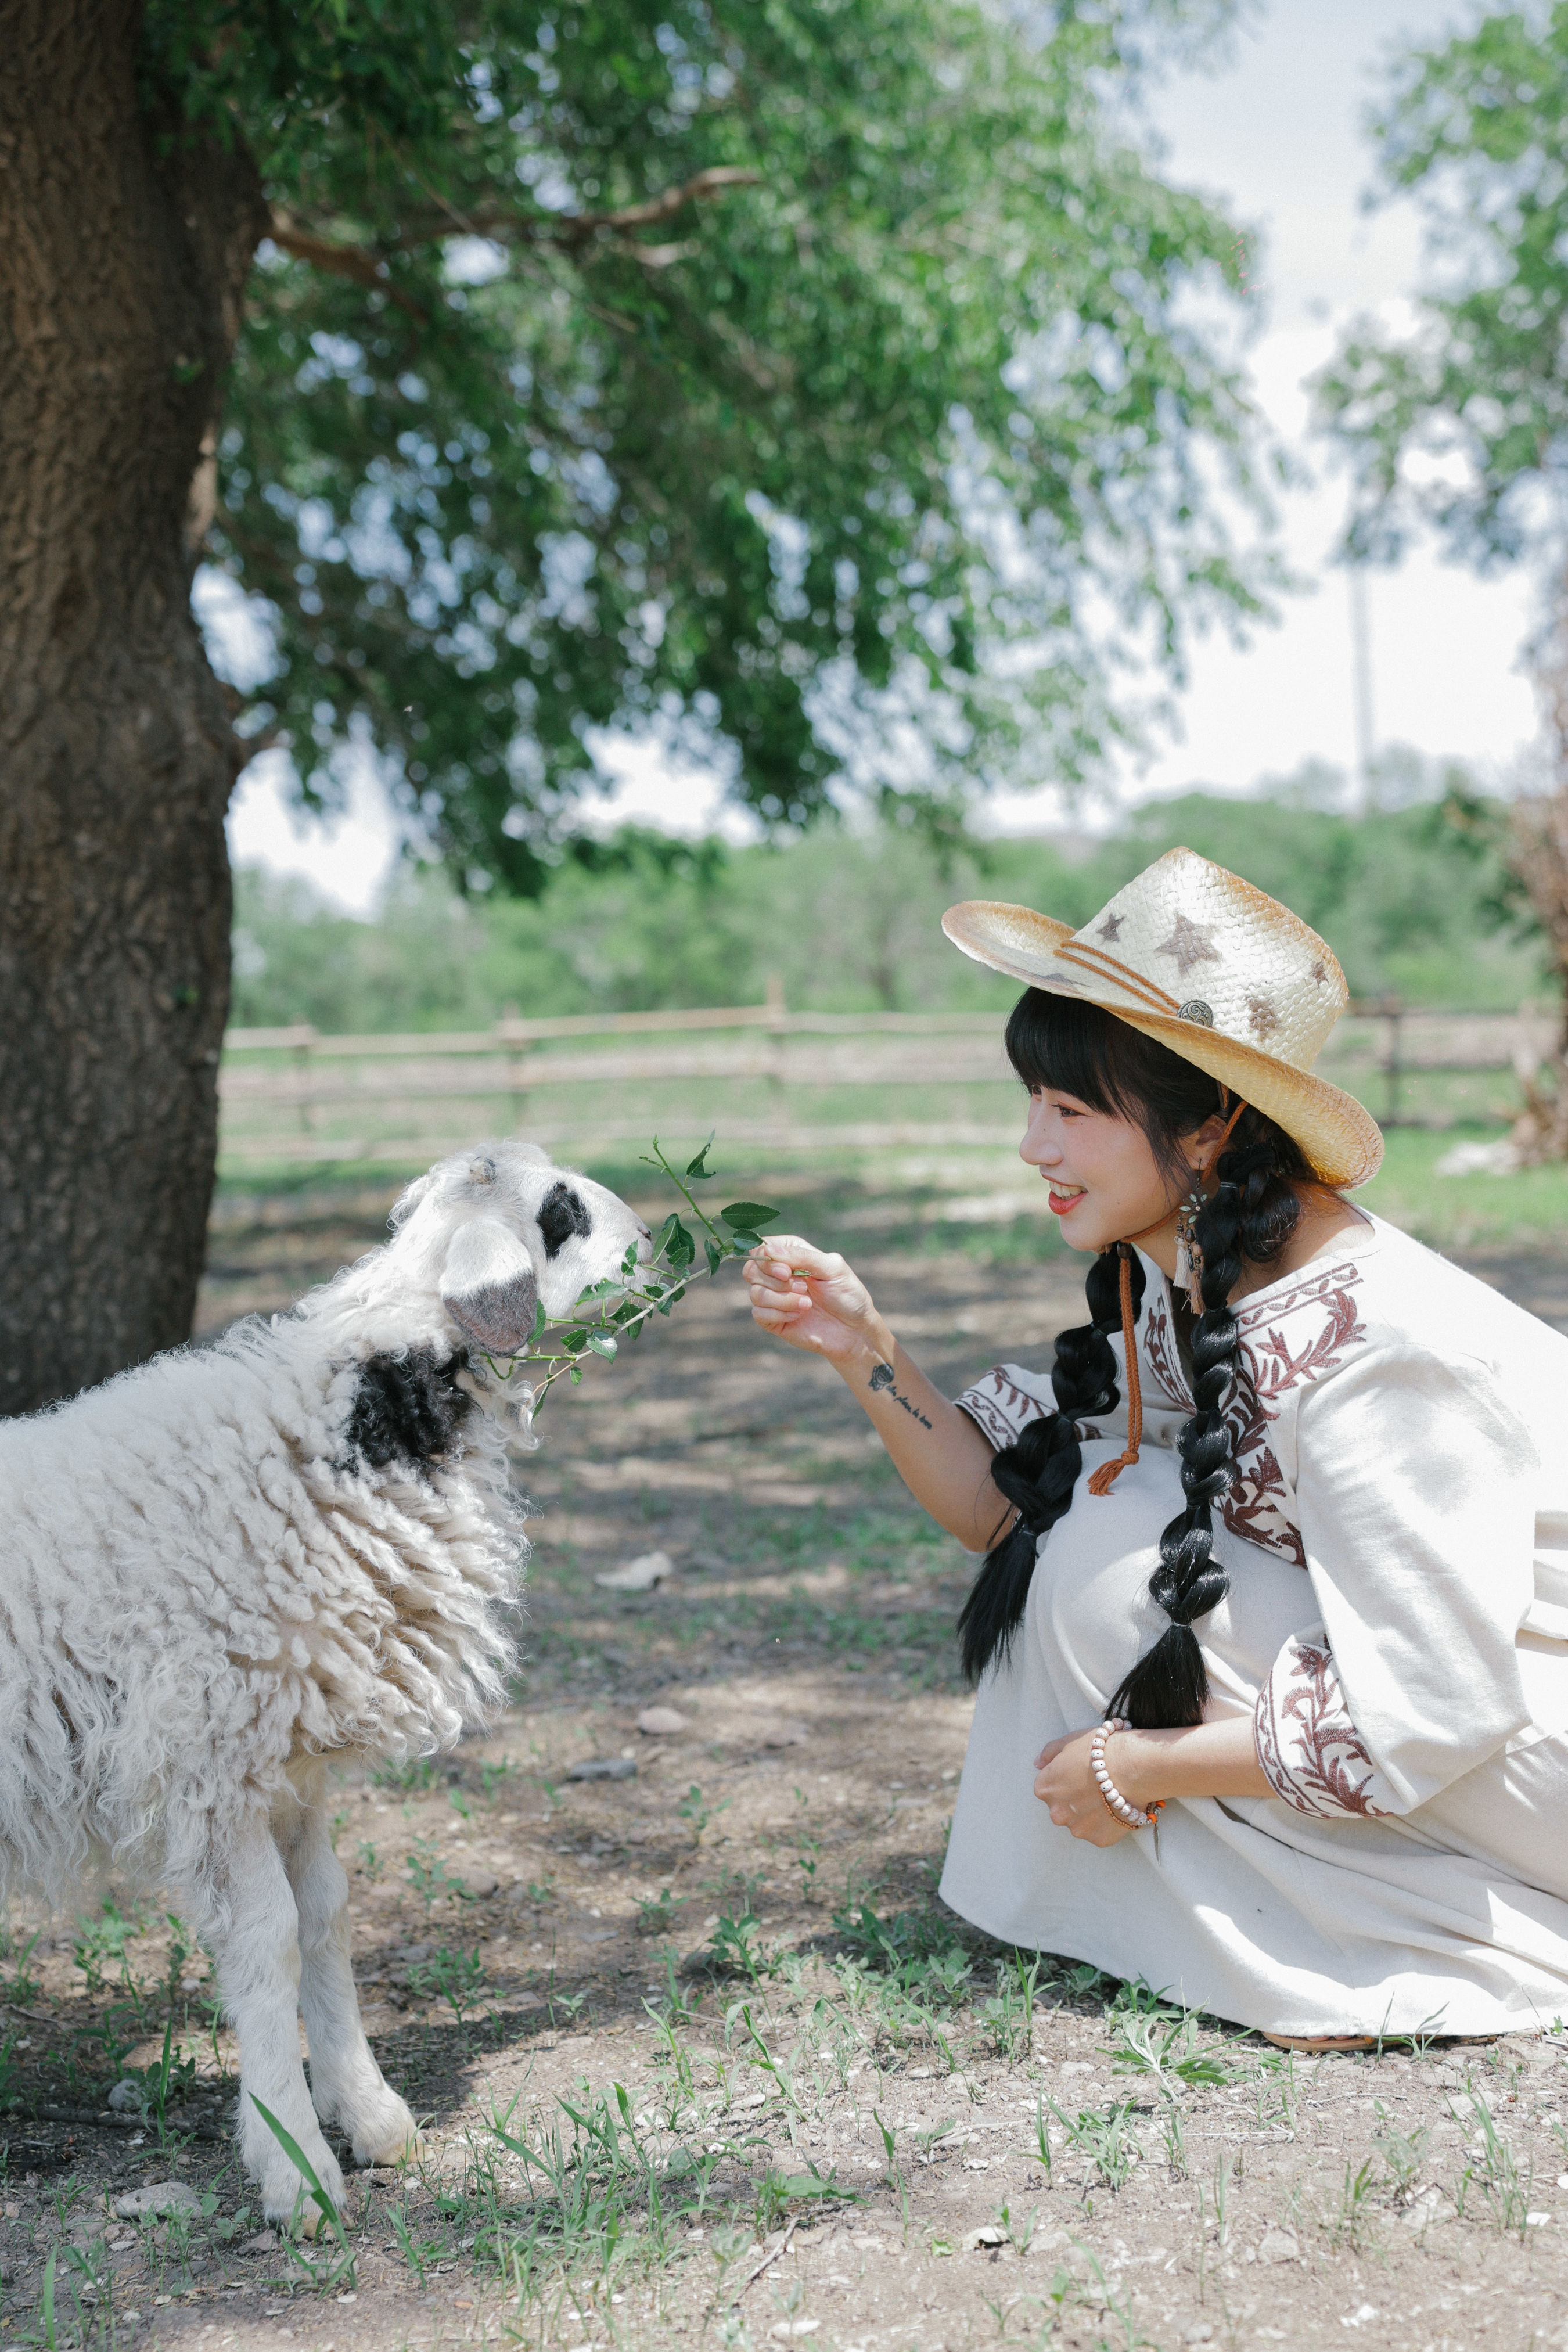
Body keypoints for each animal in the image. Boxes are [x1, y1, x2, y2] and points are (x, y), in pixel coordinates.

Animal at [0, 1138, 649, 2220]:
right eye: (561, 1215)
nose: (651, 1241)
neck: (348, 1429)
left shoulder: (288, 1763)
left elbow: (328, 1916)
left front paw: (372, 2118)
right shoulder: (213, 1753)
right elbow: (267, 1937)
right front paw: (295, 2168)